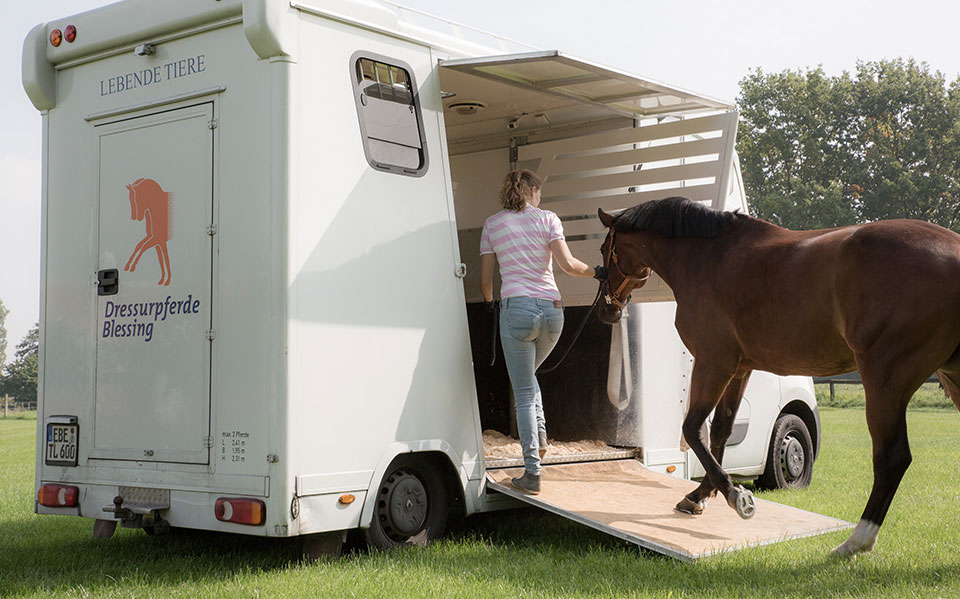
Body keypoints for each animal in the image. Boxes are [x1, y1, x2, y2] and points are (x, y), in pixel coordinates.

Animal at [596, 197, 960, 556]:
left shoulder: (713, 364)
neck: (708, 257)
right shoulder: (740, 369)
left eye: (603, 249)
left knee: (891, 459)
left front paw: (736, 497)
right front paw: (700, 496)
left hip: (886, 382)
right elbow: (721, 432)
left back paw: (856, 541)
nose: (605, 309)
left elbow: (694, 429)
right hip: (949, 375)